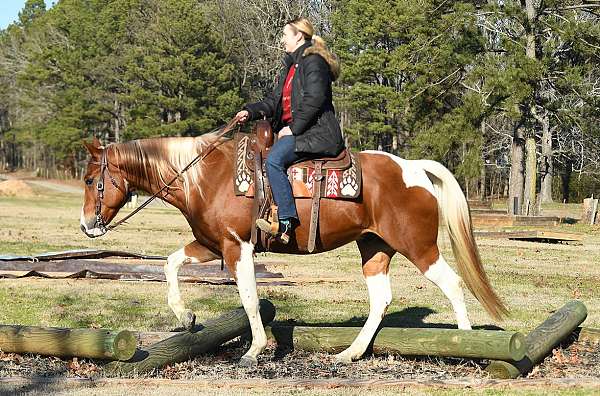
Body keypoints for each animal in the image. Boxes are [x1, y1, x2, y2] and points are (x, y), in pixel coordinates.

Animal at [78, 132, 506, 366]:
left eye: (89, 179)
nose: (86, 225)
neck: (203, 177)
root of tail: (413, 168)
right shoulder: (211, 244)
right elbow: (170, 263)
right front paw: (185, 317)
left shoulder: (237, 247)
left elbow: (250, 299)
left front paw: (253, 350)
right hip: (375, 248)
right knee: (381, 299)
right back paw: (350, 353)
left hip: (419, 247)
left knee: (452, 284)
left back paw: (468, 344)